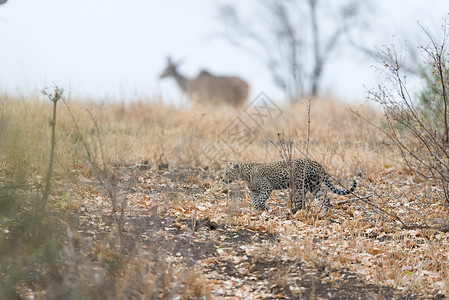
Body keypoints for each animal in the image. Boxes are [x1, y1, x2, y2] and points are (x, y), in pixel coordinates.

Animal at [220, 159, 356, 213]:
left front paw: (265, 208)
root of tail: (317, 164)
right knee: (325, 198)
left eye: (227, 172)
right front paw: (259, 211)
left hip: (300, 186)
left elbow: (260, 200)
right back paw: (323, 213)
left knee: (301, 202)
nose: (222, 179)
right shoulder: (254, 191)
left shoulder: (266, 188)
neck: (245, 175)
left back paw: (293, 211)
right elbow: (255, 202)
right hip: (314, 186)